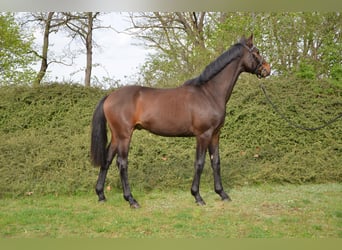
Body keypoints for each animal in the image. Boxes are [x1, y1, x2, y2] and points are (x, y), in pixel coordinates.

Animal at [90, 34, 270, 208]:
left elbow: (216, 162)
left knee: (107, 160)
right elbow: (199, 163)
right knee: (122, 163)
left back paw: (101, 195)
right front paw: (197, 197)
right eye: (257, 52)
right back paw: (131, 200)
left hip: (116, 136)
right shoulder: (203, 135)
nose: (267, 69)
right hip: (124, 135)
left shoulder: (215, 134)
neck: (209, 93)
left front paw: (222, 194)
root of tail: (110, 96)